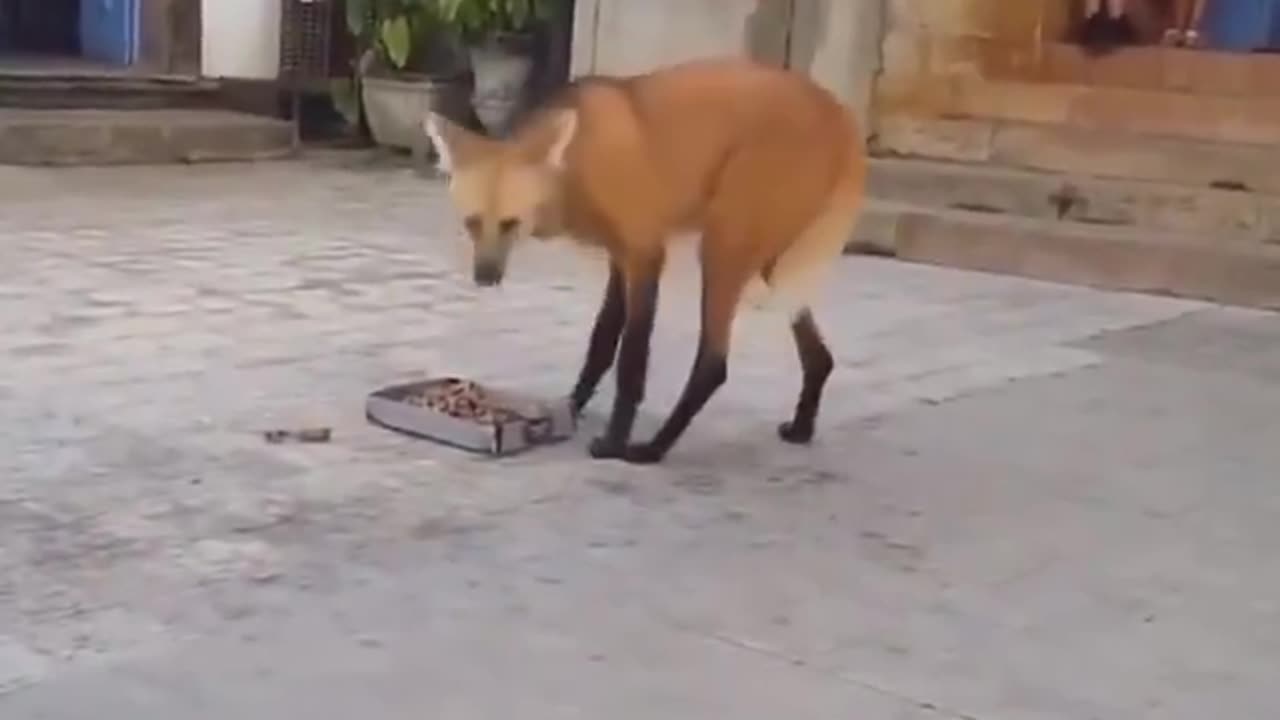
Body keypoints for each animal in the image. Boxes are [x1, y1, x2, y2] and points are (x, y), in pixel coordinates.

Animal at [422, 56, 866, 465]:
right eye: (472, 223)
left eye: (510, 224)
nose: (485, 276)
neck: (578, 164)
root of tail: (838, 111)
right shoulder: (620, 258)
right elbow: (602, 341)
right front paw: (571, 408)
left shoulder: (645, 253)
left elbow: (631, 359)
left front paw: (613, 441)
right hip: (772, 260)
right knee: (819, 355)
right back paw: (802, 427)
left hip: (722, 245)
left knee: (714, 363)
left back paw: (653, 449)